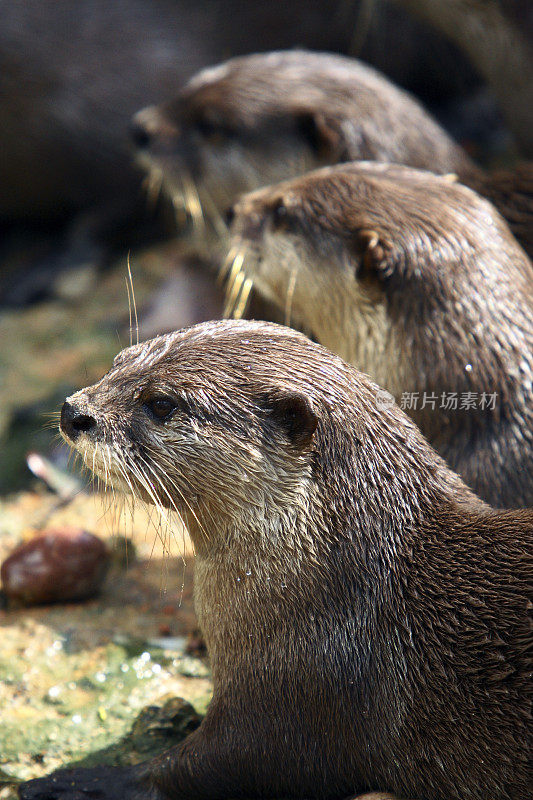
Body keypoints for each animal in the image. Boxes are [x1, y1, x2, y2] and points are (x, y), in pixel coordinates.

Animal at [18, 318, 528, 800]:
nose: (74, 411)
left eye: (162, 403)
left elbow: (221, 765)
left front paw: (76, 780)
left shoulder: (304, 698)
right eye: (119, 361)